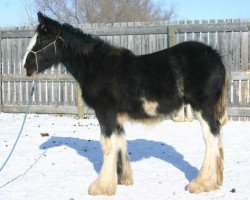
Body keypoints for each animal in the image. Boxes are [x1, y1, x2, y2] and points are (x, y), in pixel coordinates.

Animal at [23, 12, 229, 195]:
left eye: (42, 40)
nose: (26, 68)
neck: (96, 66)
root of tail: (216, 57)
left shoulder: (105, 113)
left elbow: (107, 146)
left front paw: (101, 187)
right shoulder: (116, 117)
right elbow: (119, 144)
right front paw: (122, 180)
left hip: (203, 109)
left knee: (211, 139)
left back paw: (201, 183)